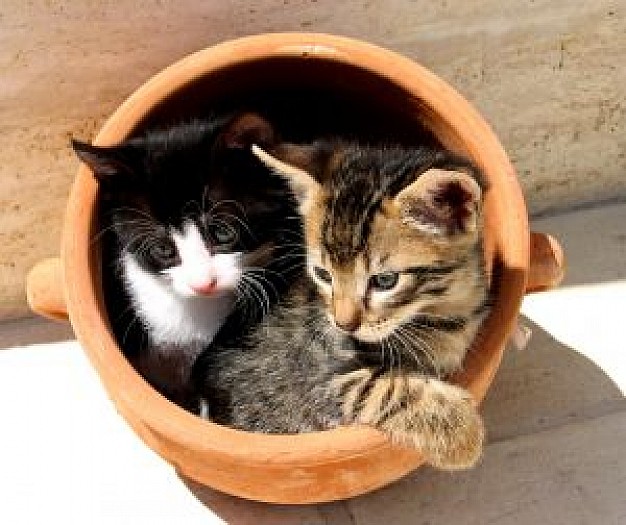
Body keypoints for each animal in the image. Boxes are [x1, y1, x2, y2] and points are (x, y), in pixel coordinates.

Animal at [195, 139, 488, 470]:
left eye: (385, 281)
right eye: (323, 274)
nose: (343, 323)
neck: (442, 311)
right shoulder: (315, 374)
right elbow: (382, 387)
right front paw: (464, 435)